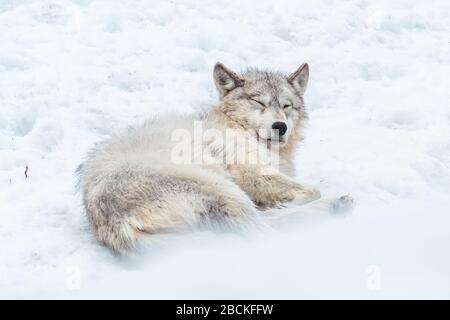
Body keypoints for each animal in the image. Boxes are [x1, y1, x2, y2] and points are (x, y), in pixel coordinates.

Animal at [77, 62, 352, 252]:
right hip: (224, 189)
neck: (235, 127)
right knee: (264, 231)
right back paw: (332, 207)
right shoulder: (251, 172)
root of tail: (114, 224)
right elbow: (312, 191)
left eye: (286, 106)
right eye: (259, 102)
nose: (280, 126)